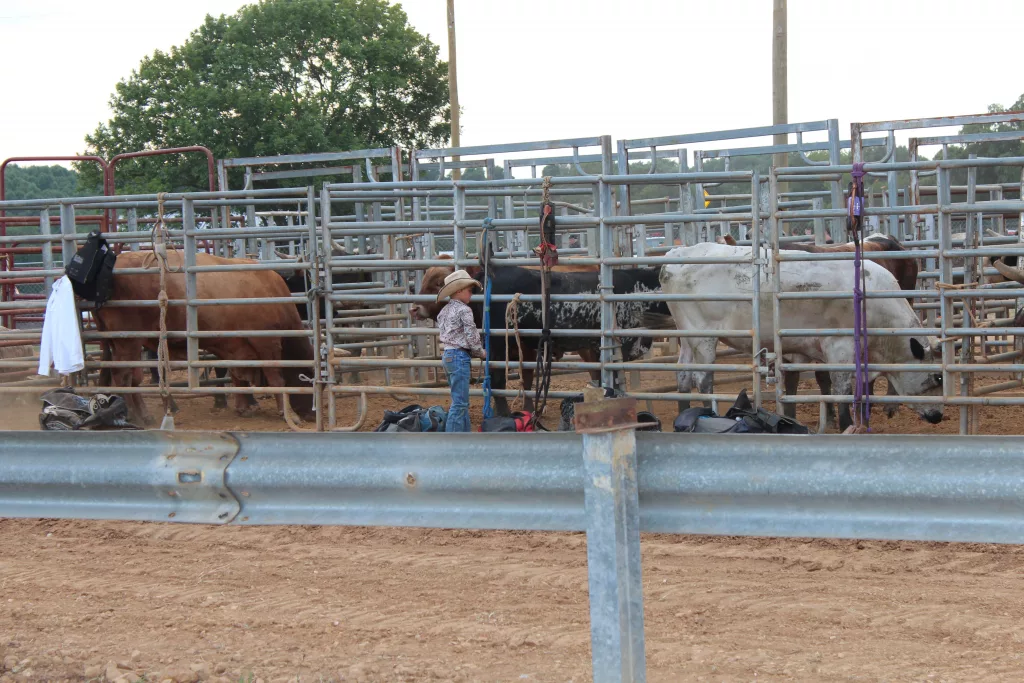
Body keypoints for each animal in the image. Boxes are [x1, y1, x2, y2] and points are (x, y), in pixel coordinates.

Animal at [100, 250, 317, 428]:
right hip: (128, 341)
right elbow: (276, 377)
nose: (312, 415)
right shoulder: (266, 343)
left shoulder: (233, 346)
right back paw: (137, 415)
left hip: (120, 343)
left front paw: (243, 407)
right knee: (124, 376)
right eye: (308, 378)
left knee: (127, 377)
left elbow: (237, 375)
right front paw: (287, 413)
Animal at [655, 242, 942, 430]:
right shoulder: (839, 348)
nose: (938, 415)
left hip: (686, 336)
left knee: (683, 373)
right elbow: (842, 388)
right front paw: (847, 424)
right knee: (702, 378)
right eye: (934, 378)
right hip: (703, 337)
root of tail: (674, 257)